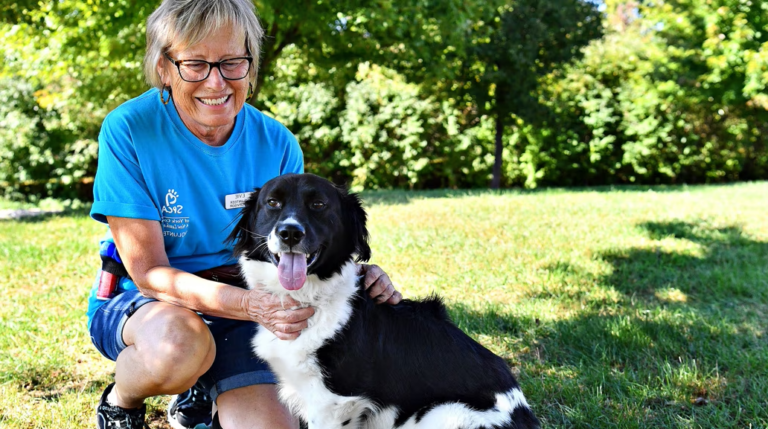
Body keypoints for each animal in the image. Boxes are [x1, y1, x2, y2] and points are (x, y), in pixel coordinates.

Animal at [228, 172, 540, 426]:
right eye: (272, 203)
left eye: (318, 205)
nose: (290, 233)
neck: (310, 298)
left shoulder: (334, 405)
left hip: (443, 414)